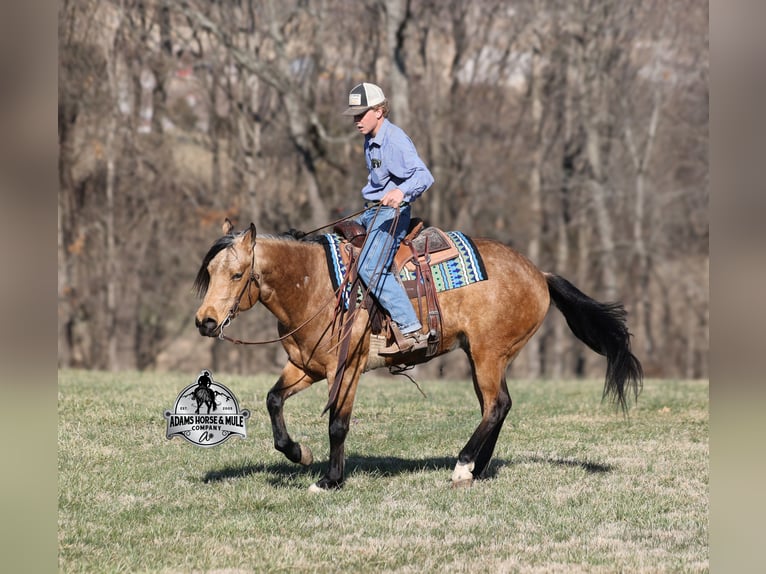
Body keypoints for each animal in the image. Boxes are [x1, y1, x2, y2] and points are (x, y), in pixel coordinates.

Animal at [193, 219, 643, 491]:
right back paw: (477, 469)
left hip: (489, 354)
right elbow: (273, 399)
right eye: (210, 273)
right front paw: (299, 454)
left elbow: (338, 424)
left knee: (496, 405)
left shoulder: (348, 369)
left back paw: (463, 466)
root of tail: (539, 274)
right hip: (480, 356)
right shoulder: (306, 366)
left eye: (237, 274)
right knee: (498, 406)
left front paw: (331, 480)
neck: (317, 284)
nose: (205, 321)